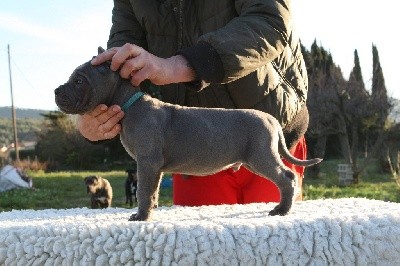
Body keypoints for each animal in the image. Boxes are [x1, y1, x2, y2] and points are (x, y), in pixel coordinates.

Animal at [54, 48, 322, 221]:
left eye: (78, 81)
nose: (56, 91)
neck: (129, 104)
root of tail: (271, 119)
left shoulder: (147, 161)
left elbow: (142, 191)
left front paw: (141, 216)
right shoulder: (154, 166)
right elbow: (151, 190)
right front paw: (149, 211)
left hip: (260, 155)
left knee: (287, 177)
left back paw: (281, 210)